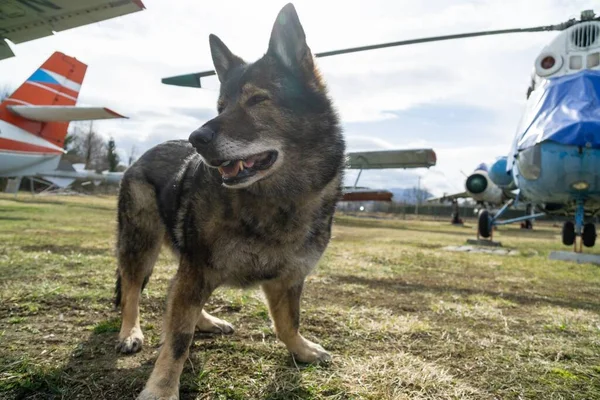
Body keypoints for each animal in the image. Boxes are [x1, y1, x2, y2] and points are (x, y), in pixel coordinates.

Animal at [114, 3, 344, 400]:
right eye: (220, 106)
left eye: (257, 100)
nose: (197, 138)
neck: (277, 199)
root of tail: (144, 154)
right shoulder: (197, 270)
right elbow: (177, 339)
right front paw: (162, 389)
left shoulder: (287, 279)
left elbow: (288, 322)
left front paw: (301, 350)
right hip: (141, 243)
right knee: (133, 290)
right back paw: (131, 332)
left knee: (176, 293)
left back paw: (205, 321)